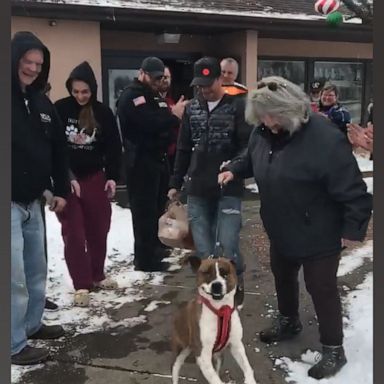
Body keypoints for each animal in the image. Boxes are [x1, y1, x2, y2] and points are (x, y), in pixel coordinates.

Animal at [170, 256, 255, 384]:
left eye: (225, 273)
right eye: (207, 273)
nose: (216, 285)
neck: (221, 310)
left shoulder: (236, 345)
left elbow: (248, 368)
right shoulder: (203, 355)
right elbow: (215, 380)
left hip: (218, 356)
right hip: (180, 352)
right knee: (175, 369)